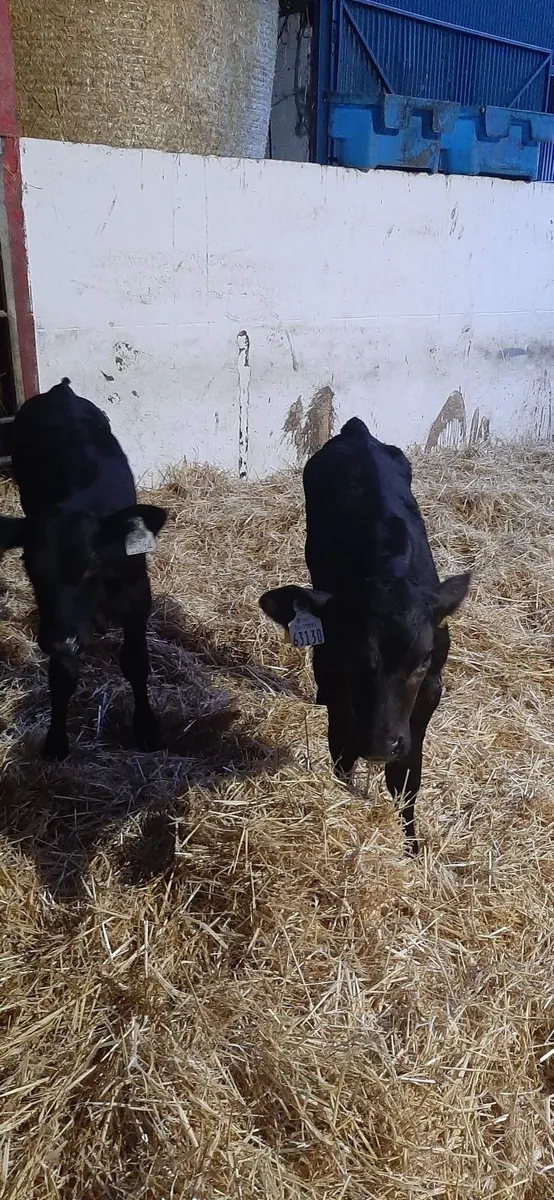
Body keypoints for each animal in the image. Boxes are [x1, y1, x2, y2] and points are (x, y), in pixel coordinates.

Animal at [0, 378, 167, 760]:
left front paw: (147, 729)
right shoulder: (60, 623)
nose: (60, 641)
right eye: (28, 564)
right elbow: (62, 677)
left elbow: (136, 662)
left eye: (93, 563)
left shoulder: (138, 595)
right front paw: (55, 742)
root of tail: (61, 391)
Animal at [259, 417, 470, 854]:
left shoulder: (430, 689)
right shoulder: (331, 671)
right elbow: (341, 751)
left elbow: (406, 778)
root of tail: (357, 431)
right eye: (350, 657)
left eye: (422, 660)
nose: (378, 744)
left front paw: (411, 847)